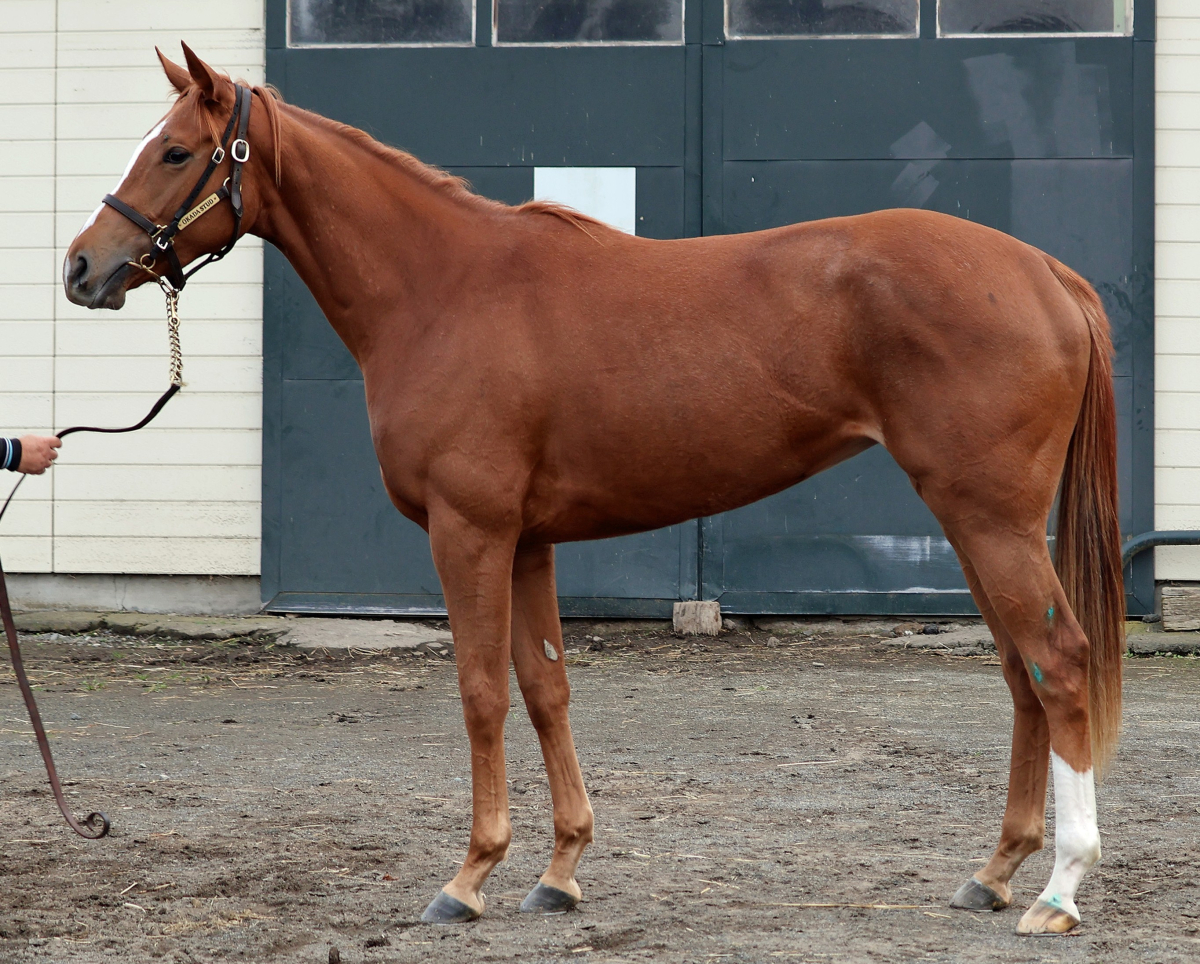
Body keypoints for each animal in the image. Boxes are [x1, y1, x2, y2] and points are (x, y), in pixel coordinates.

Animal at [64, 45, 1124, 934]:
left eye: (175, 151)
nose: (81, 267)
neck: (443, 290)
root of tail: (1046, 272)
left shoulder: (469, 532)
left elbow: (481, 691)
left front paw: (468, 879)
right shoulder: (528, 540)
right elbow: (546, 689)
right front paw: (559, 871)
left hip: (990, 520)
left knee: (1059, 663)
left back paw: (1060, 892)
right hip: (975, 523)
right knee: (1022, 677)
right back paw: (994, 874)